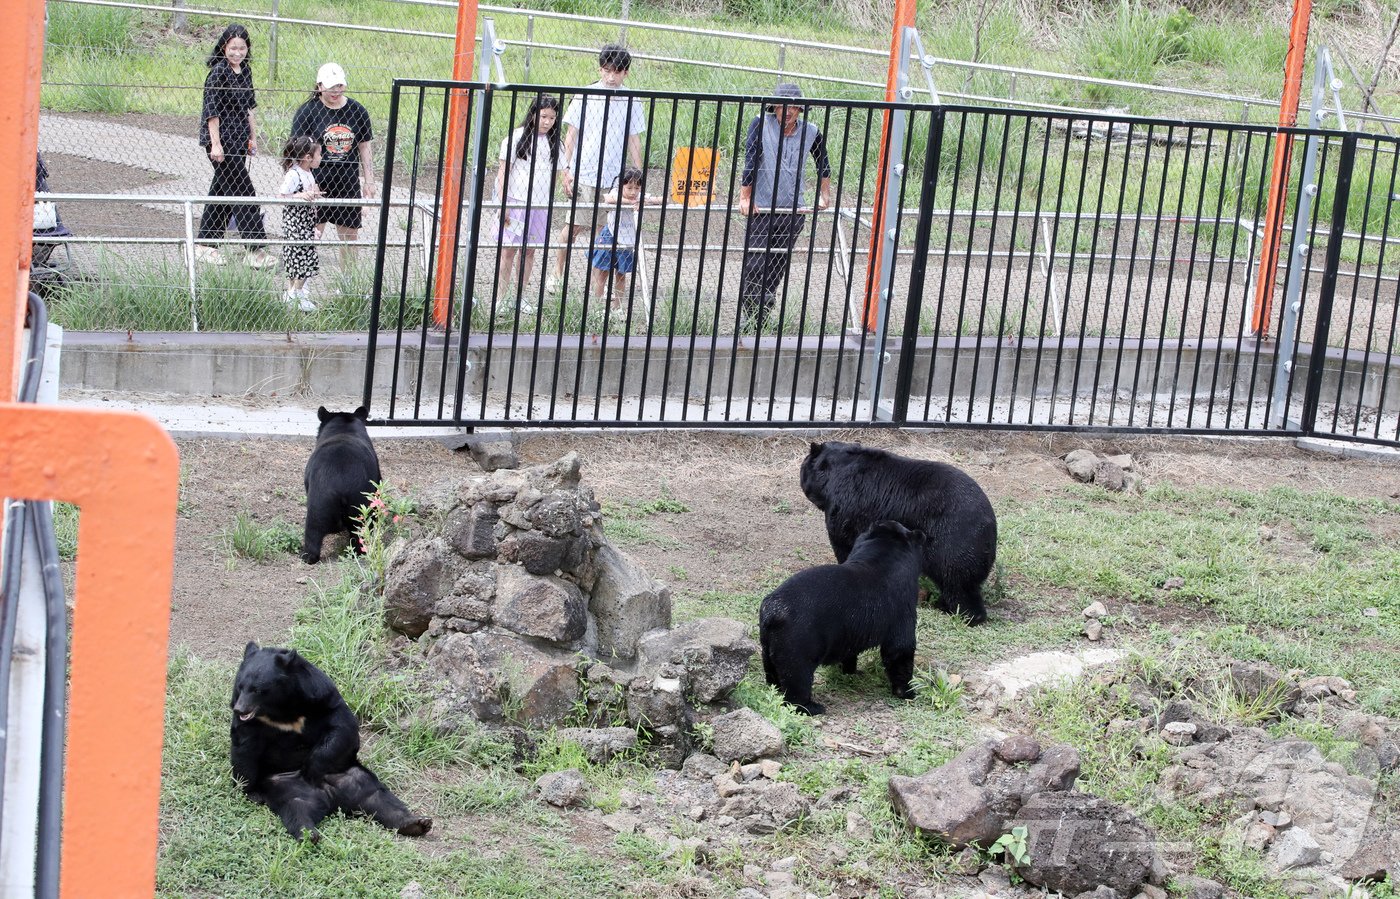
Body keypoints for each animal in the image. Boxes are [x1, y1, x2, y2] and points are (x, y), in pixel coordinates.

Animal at [229, 638, 431, 840]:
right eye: (240, 687)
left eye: (258, 690)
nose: (240, 709)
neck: (281, 709)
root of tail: (329, 798)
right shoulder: (254, 723)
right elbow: (244, 748)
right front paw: (249, 791)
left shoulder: (319, 695)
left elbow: (341, 726)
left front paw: (311, 768)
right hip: (283, 786)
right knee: (295, 808)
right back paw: (309, 833)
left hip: (352, 776)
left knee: (378, 797)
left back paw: (417, 823)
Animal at [299, 403, 378, 562]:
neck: (344, 429)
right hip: (361, 506)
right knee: (362, 532)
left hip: (318, 504)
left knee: (313, 532)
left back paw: (307, 556)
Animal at [761, 518, 924, 714]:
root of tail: (773, 611)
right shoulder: (901, 607)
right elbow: (900, 647)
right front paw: (907, 692)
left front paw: (851, 671)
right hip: (798, 641)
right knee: (797, 677)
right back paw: (813, 707)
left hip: (769, 642)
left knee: (771, 669)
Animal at [800, 439, 996, 621]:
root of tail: (989, 525)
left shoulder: (846, 506)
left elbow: (843, 541)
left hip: (952, 540)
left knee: (957, 581)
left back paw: (963, 613)